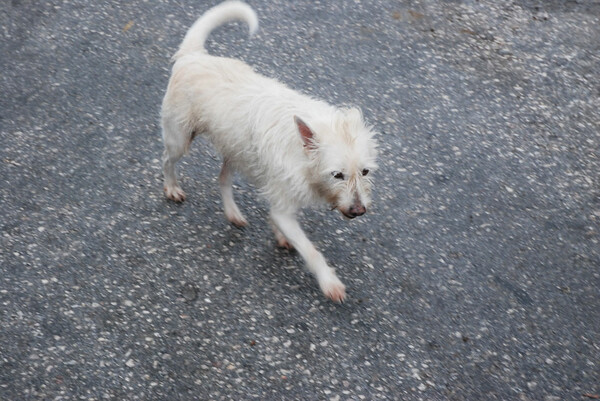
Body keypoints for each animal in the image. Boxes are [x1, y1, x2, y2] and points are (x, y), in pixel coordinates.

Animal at [159, 0, 376, 300]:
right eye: (337, 175)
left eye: (365, 171)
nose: (359, 211)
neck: (301, 151)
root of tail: (194, 56)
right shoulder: (284, 207)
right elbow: (310, 250)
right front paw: (329, 282)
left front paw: (280, 236)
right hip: (180, 139)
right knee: (167, 160)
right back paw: (171, 187)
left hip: (236, 151)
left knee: (222, 178)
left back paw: (233, 213)